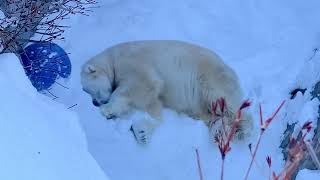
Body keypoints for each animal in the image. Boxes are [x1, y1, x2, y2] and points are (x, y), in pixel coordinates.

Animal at [80, 40, 252, 144]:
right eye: (85, 91)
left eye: (91, 89)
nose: (94, 103)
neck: (113, 57)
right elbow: (153, 107)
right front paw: (142, 133)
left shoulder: (133, 63)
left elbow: (139, 86)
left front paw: (107, 109)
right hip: (199, 103)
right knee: (212, 115)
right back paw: (220, 132)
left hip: (210, 78)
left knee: (225, 102)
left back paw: (244, 131)